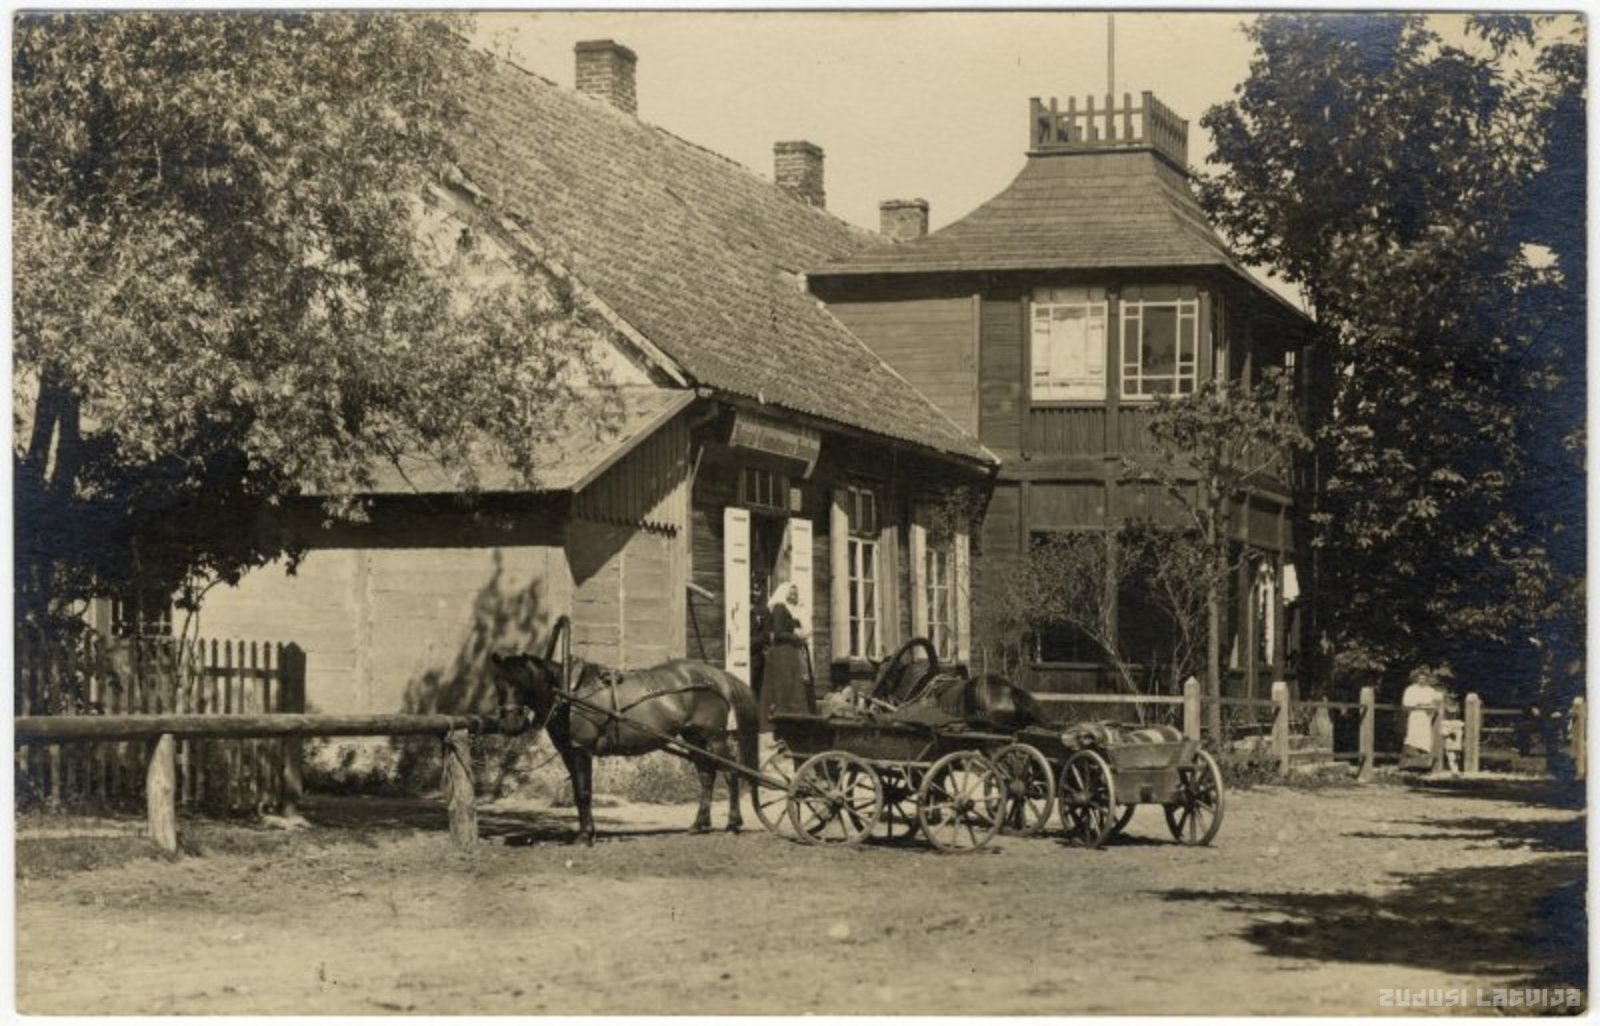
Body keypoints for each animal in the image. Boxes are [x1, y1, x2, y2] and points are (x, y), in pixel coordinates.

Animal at [489, 650, 759, 845]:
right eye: (498, 684)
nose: (510, 725)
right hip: (694, 738)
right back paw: (698, 825)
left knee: (730, 773)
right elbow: (578, 792)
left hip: (714, 738)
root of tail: (718, 676)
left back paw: (733, 824)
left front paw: (585, 835)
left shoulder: (581, 751)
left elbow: (584, 792)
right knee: (706, 776)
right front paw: (588, 831)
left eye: (521, 683)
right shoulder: (569, 753)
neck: (568, 694)